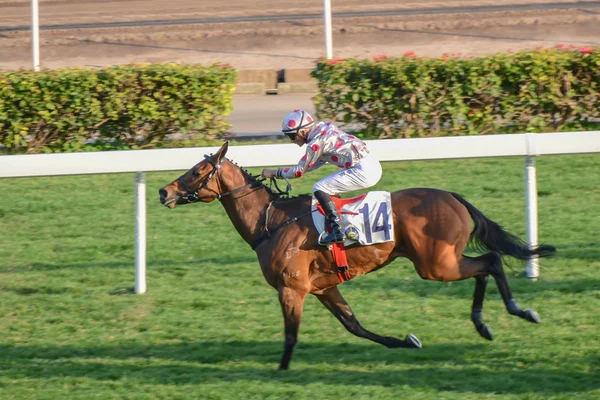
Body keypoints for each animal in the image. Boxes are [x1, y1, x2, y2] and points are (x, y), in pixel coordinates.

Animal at [159, 142, 556, 370]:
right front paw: (405, 341)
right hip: (441, 262)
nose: (164, 192)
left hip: (435, 264)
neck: (270, 223)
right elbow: (355, 326)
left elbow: (290, 336)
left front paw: (280, 372)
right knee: (483, 267)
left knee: (490, 261)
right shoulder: (322, 288)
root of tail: (453, 197)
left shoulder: (292, 289)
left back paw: (519, 311)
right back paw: (483, 323)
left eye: (197, 171)